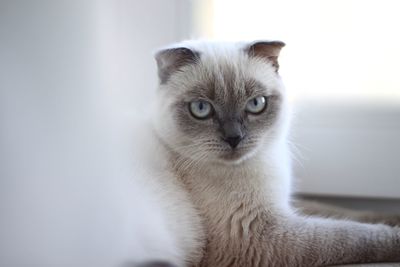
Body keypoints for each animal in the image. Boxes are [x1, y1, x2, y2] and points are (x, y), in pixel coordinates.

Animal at [134, 40, 400, 267]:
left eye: (256, 104)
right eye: (201, 108)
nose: (234, 138)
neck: (261, 162)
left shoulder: (284, 203)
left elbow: (347, 212)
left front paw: (392, 216)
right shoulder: (261, 234)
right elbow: (353, 235)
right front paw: (395, 236)